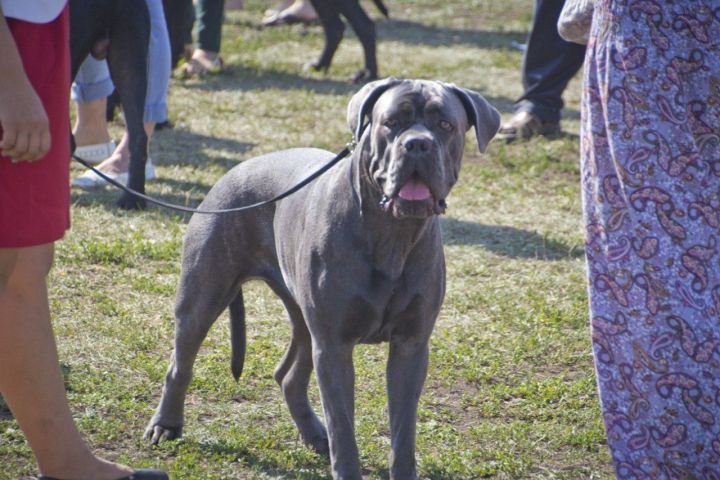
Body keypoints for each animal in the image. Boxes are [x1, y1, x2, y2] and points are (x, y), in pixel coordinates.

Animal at [146, 79, 500, 480]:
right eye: (391, 122)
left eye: (445, 125)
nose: (417, 144)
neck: (391, 232)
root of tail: (234, 171)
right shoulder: (334, 346)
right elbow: (343, 425)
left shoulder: (410, 346)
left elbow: (403, 430)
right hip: (203, 296)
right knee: (180, 364)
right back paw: (166, 425)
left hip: (302, 318)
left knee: (288, 375)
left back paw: (315, 434)